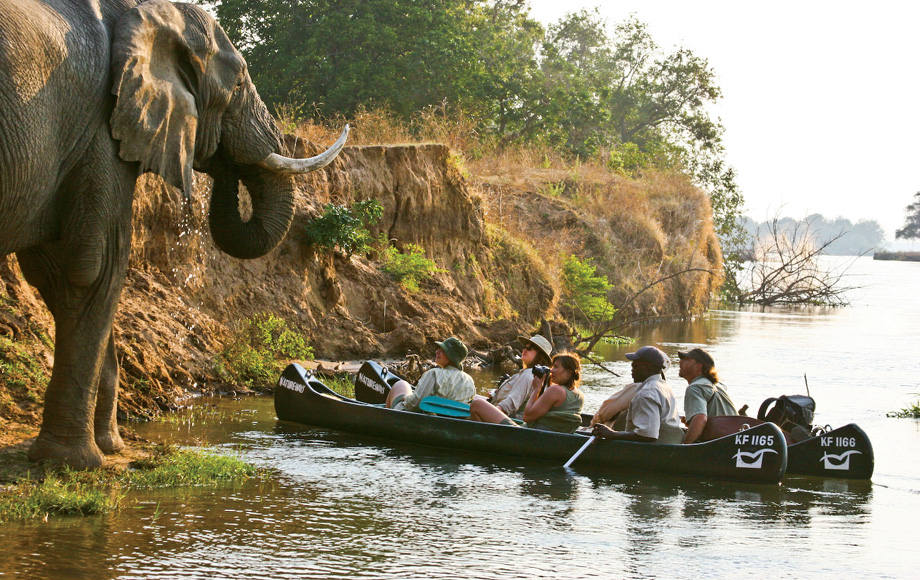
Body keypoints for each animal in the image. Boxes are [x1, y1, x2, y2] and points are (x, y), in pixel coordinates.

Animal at [0, 0, 348, 468]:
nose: (220, 159)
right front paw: (75, 461)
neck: (142, 12)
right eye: (239, 81)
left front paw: (109, 446)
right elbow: (94, 268)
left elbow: (58, 274)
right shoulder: (100, 127)